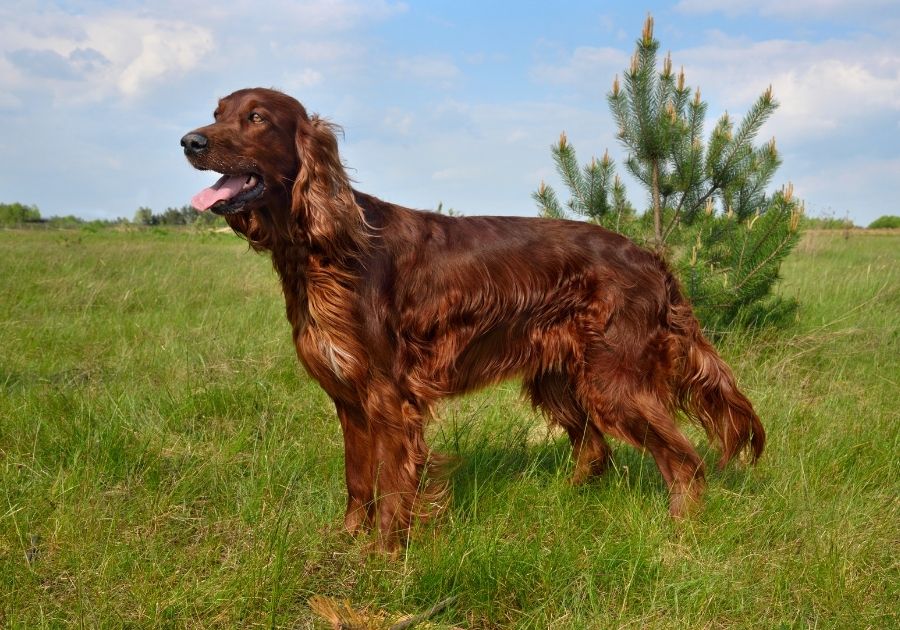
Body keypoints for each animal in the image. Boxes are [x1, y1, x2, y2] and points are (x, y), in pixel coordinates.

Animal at [183, 87, 768, 548]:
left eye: (257, 117)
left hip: (614, 381)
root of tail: (651, 258)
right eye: (216, 112)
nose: (190, 141)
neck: (326, 248)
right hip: (560, 377)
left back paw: (680, 534)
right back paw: (561, 505)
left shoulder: (388, 396)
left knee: (683, 462)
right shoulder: (348, 397)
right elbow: (357, 480)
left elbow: (392, 486)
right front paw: (346, 542)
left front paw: (383, 557)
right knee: (595, 450)